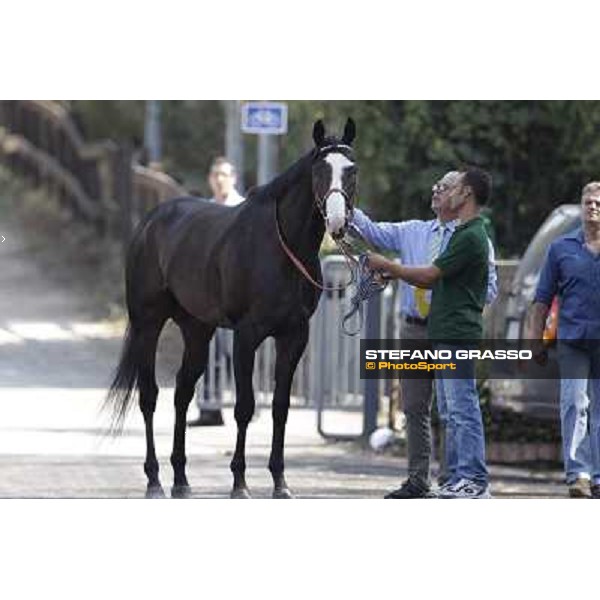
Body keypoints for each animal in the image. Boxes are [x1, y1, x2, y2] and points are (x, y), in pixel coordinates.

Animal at [105, 117, 356, 496]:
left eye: (352, 170)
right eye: (320, 171)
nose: (338, 223)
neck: (281, 249)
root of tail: (150, 222)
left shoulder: (294, 335)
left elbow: (279, 407)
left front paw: (280, 481)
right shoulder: (246, 336)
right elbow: (244, 407)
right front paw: (239, 482)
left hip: (197, 330)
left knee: (182, 392)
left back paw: (181, 480)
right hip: (148, 323)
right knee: (149, 396)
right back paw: (154, 480)